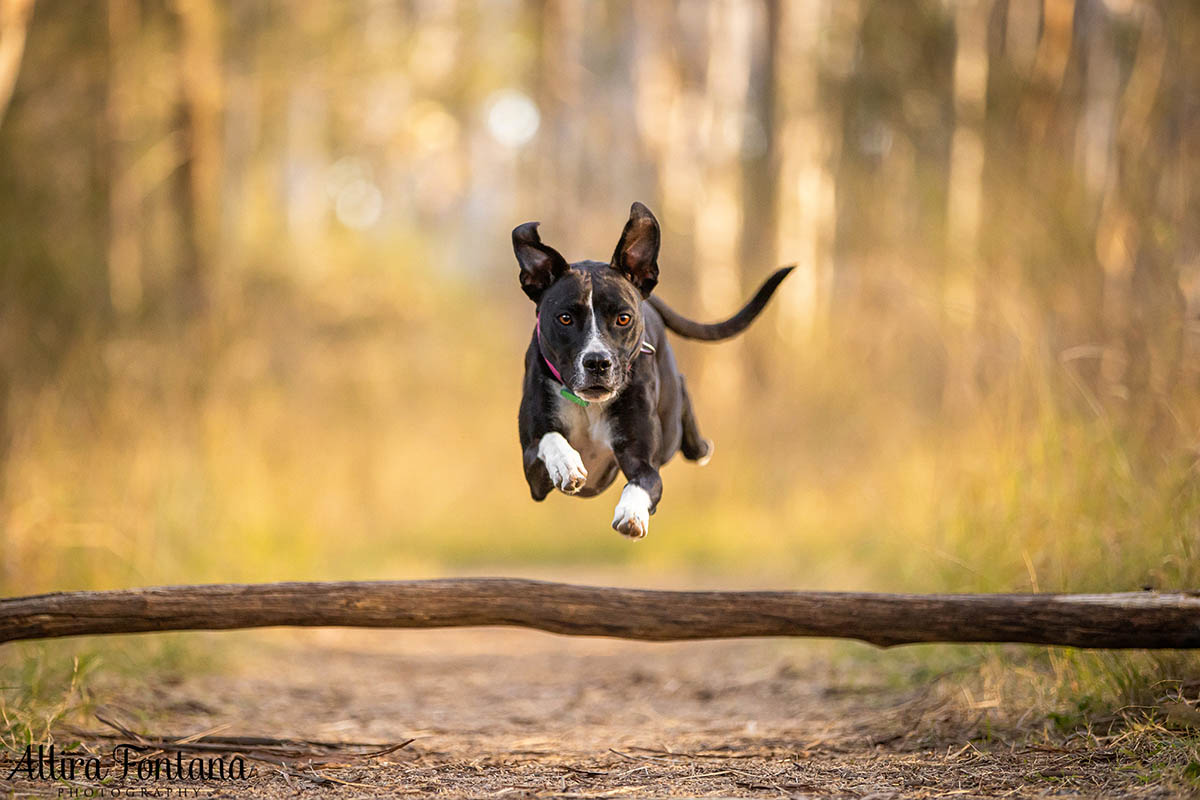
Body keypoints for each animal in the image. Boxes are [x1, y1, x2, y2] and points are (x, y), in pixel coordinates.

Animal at [513, 201, 787, 537]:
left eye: (623, 318)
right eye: (565, 318)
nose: (597, 362)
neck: (589, 405)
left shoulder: (644, 460)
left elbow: (642, 483)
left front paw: (632, 513)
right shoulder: (533, 474)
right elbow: (549, 438)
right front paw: (566, 463)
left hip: (669, 427)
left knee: (681, 394)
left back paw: (699, 447)